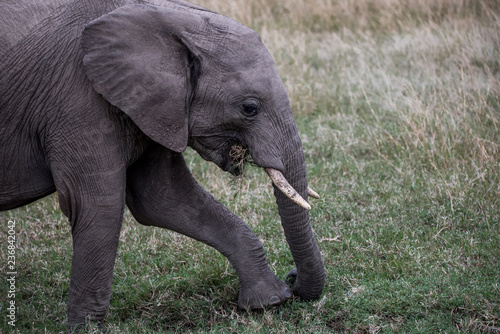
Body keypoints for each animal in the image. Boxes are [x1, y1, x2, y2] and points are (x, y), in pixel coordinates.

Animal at [0, 0, 326, 330]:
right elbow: (100, 207)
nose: (292, 278)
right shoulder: (78, 104)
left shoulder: (155, 107)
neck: (159, 15)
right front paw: (87, 330)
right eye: (249, 108)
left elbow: (163, 198)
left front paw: (269, 302)